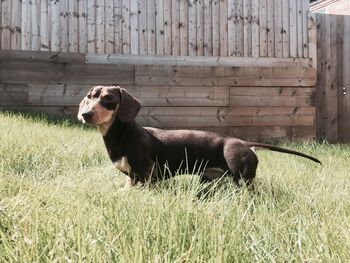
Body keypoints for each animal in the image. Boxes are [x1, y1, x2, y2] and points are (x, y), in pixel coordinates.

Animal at [78, 85, 322, 189]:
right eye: (90, 97)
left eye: (109, 99)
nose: (85, 114)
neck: (121, 135)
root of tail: (244, 143)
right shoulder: (132, 177)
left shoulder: (147, 175)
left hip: (241, 174)